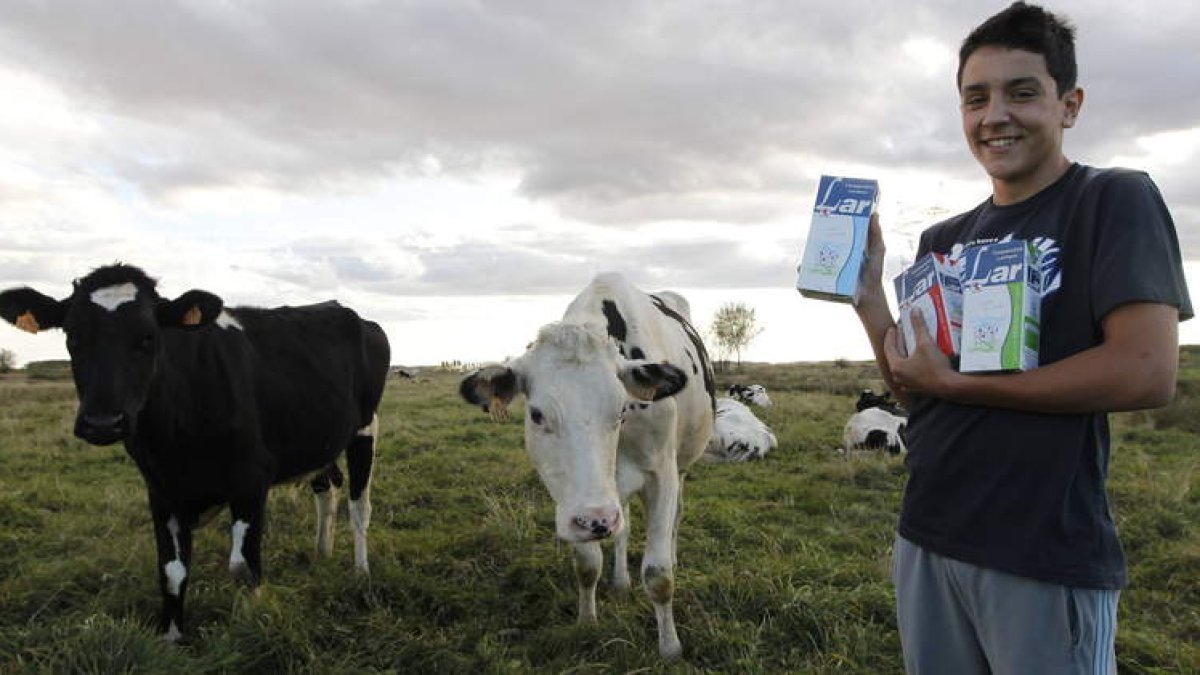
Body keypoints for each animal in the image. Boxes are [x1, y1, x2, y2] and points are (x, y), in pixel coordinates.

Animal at [0, 261, 388, 634]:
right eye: (73, 336)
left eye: (148, 337)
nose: (102, 422)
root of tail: (343, 309)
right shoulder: (161, 488)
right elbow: (171, 571)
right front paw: (171, 638)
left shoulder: (252, 477)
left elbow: (243, 567)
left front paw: (253, 625)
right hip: (318, 438)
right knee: (327, 488)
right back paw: (322, 553)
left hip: (365, 427)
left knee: (359, 506)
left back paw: (361, 574)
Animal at [460, 270, 715, 653]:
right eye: (536, 414)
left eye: (621, 409)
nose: (597, 519)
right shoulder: (576, 502)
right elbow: (587, 564)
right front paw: (587, 621)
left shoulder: (662, 475)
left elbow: (658, 575)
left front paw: (670, 648)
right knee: (623, 527)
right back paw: (621, 580)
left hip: (681, 466)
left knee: (676, 517)